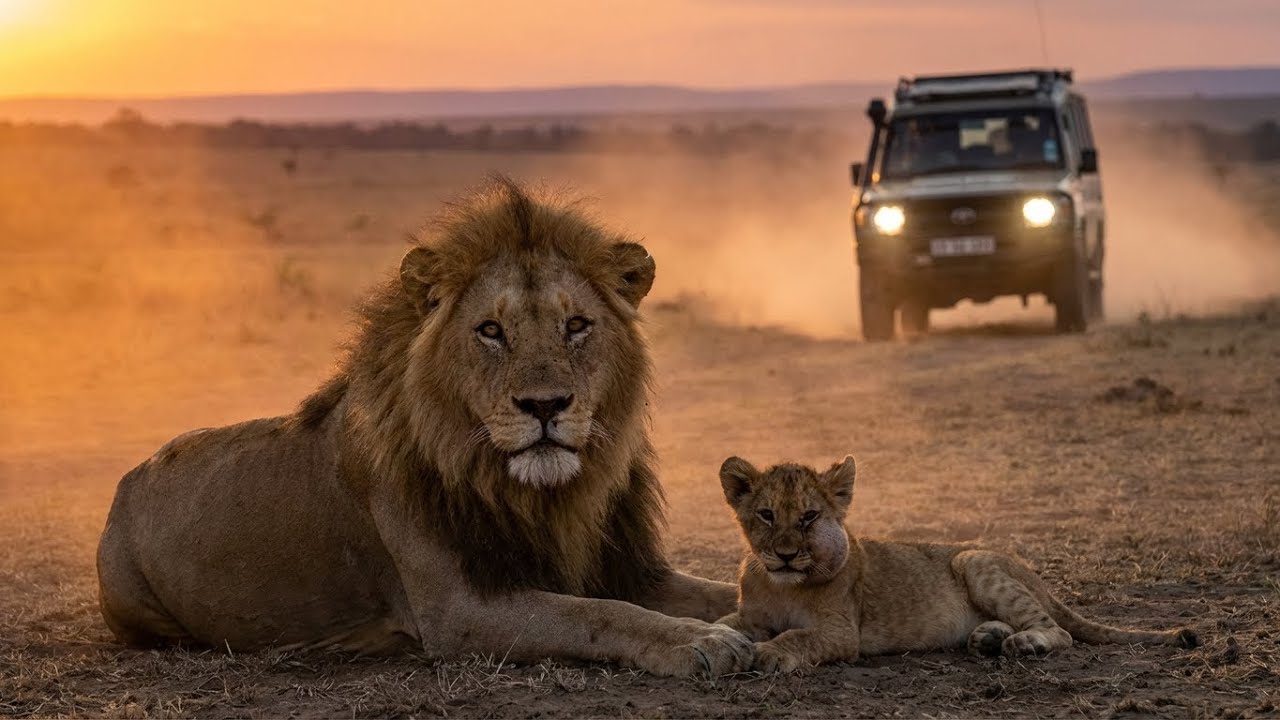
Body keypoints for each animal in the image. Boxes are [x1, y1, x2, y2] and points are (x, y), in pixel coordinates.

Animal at [96, 178, 753, 677]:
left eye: (576, 325)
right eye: (491, 331)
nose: (545, 405)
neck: (546, 498)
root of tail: (131, 476)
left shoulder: (626, 569)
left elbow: (726, 589)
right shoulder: (458, 611)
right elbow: (598, 615)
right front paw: (700, 641)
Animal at [714, 456, 1199, 673]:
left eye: (810, 517)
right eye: (766, 515)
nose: (785, 554)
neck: (781, 585)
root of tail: (1038, 578)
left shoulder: (841, 632)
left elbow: (799, 635)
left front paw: (770, 652)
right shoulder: (752, 615)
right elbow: (727, 621)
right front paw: (723, 638)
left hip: (973, 558)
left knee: (1058, 631)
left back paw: (1023, 643)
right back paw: (988, 638)